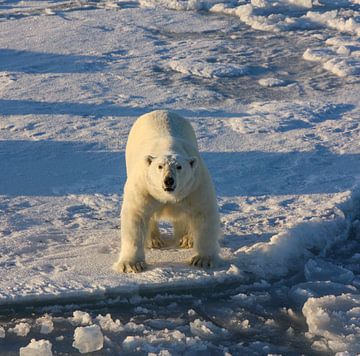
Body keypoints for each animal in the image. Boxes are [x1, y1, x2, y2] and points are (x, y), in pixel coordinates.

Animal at [113, 110, 219, 272]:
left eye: (179, 167)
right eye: (160, 166)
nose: (168, 180)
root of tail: (161, 110)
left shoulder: (195, 185)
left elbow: (203, 214)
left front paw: (202, 260)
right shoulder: (144, 187)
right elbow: (136, 215)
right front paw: (131, 264)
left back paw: (186, 239)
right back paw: (154, 240)